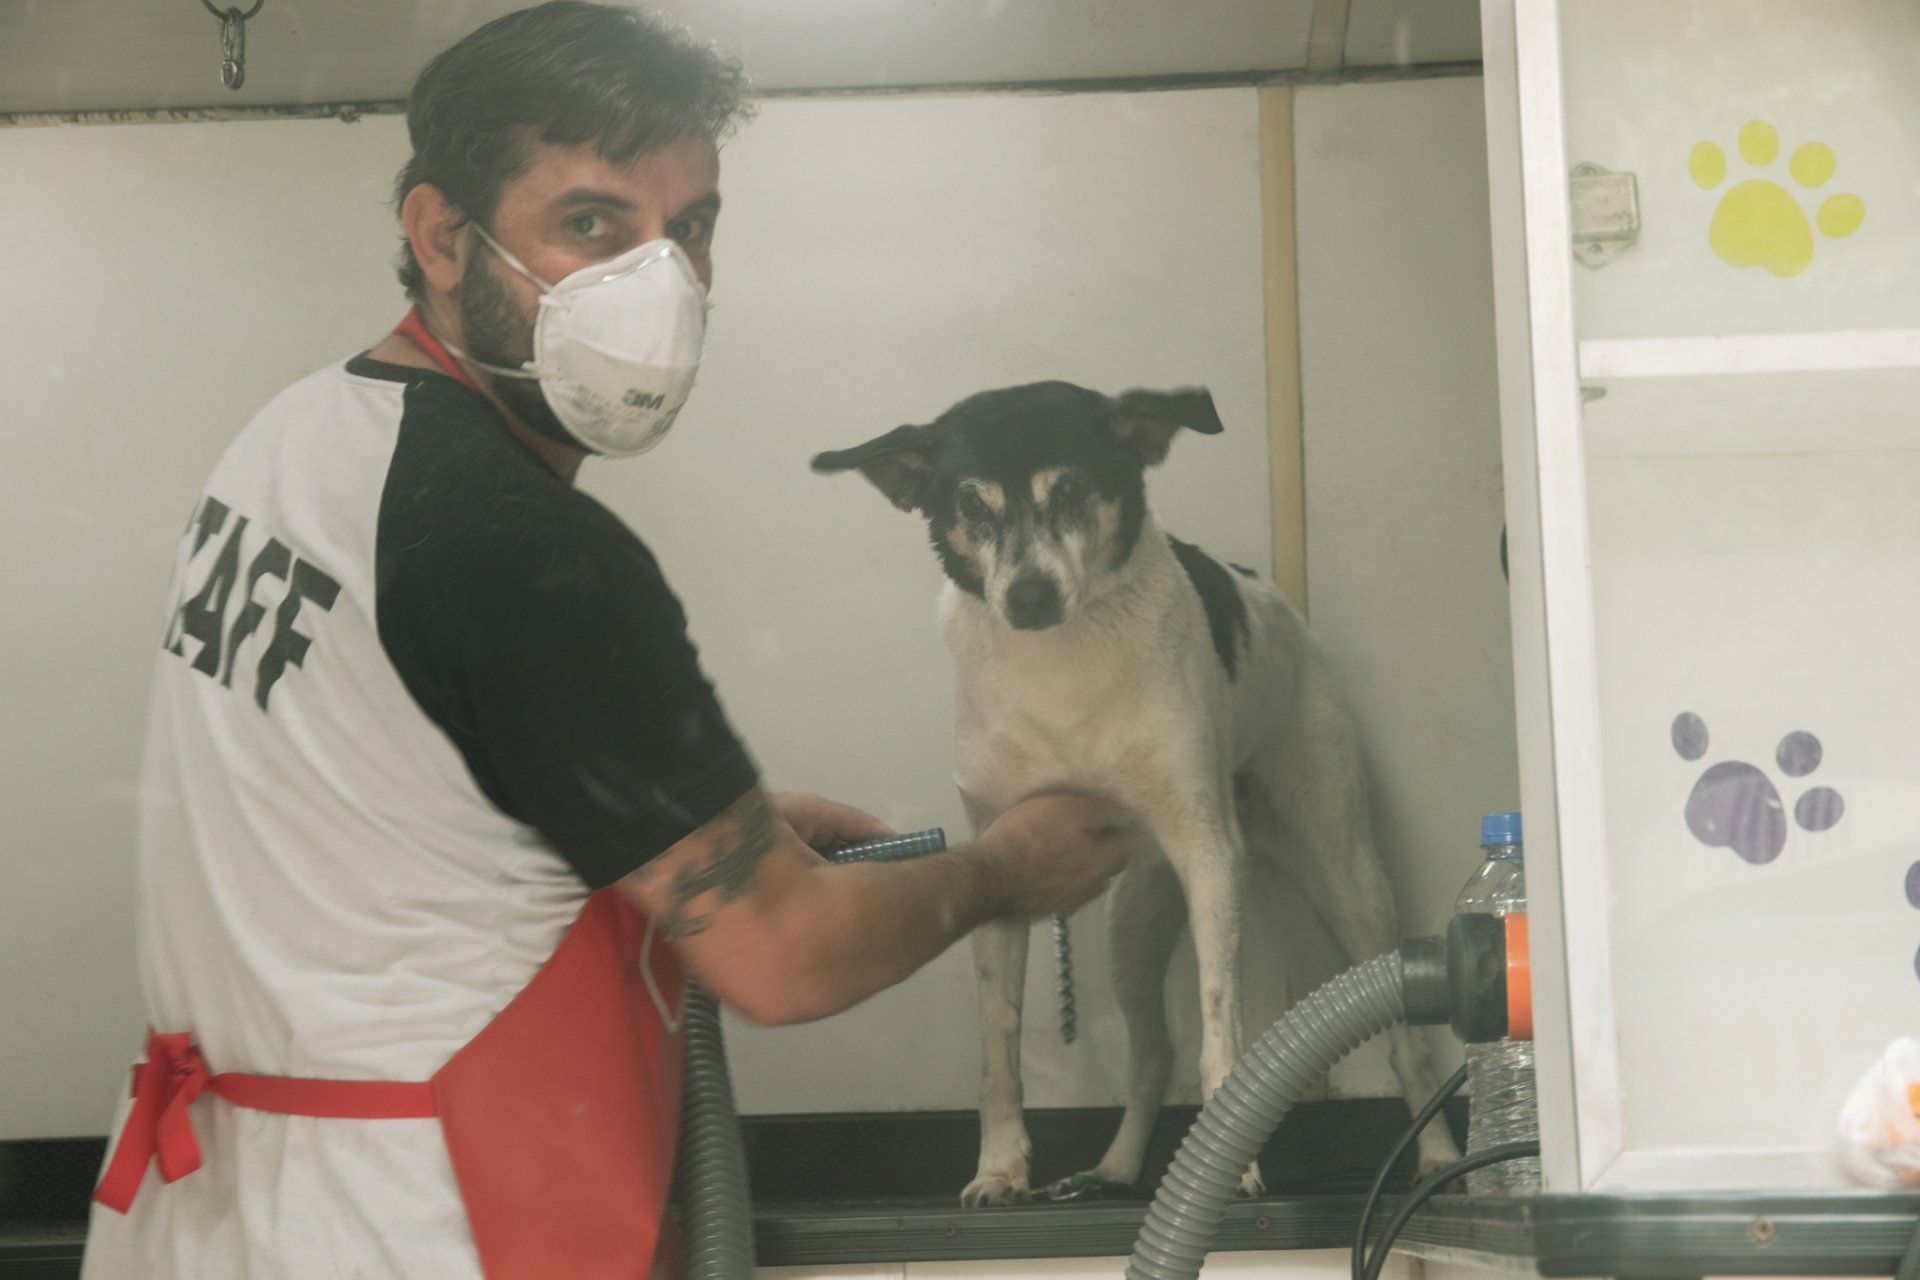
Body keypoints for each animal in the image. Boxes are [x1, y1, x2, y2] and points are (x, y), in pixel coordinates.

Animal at [813, 381, 1459, 1206]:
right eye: (970, 503)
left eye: (1071, 489)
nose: (1028, 597)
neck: (1060, 666)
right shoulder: (1000, 869)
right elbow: (998, 1049)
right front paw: (999, 1168)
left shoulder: (1210, 858)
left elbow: (1223, 1035)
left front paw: (1230, 1168)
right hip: (1134, 922)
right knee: (1152, 1056)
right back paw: (1116, 1169)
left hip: (1346, 873)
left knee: (1406, 1040)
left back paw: (1438, 1156)